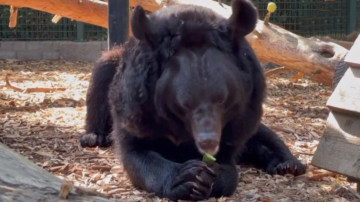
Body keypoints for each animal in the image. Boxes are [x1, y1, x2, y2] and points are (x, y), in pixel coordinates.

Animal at [81, 0, 306, 200]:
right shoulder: (135, 110)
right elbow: (137, 154)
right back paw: (94, 137)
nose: (208, 142)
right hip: (109, 70)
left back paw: (289, 164)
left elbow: (230, 164)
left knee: (264, 135)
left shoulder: (240, 116)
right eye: (183, 105)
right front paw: (186, 178)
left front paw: (208, 176)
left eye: (223, 100)